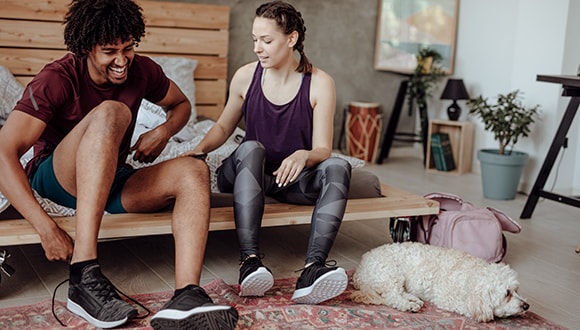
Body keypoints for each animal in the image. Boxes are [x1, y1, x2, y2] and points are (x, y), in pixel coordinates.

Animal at [348, 241, 532, 320]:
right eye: (506, 293)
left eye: (516, 290)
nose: (526, 306)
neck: (473, 276)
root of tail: (360, 268)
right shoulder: (451, 300)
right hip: (390, 274)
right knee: (391, 297)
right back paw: (408, 305)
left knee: (398, 293)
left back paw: (413, 299)